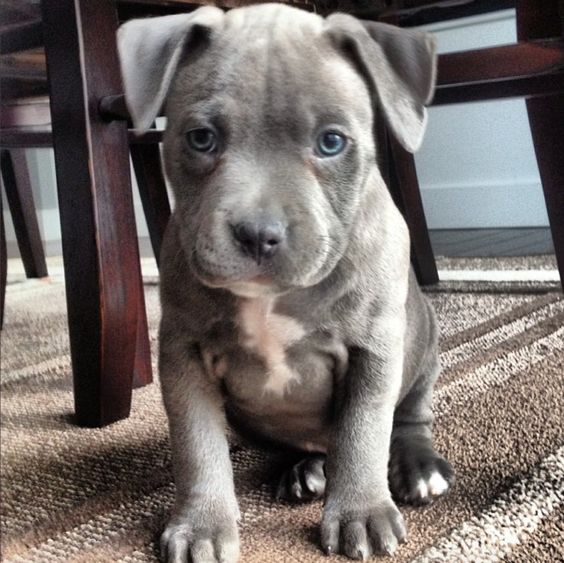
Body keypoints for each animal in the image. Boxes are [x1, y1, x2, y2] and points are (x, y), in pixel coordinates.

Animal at [119, 3, 454, 560]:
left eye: (332, 142)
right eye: (201, 138)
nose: (258, 234)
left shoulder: (373, 351)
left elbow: (363, 432)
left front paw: (361, 513)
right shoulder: (183, 354)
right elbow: (196, 444)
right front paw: (203, 525)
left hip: (423, 342)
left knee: (407, 418)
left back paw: (416, 467)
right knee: (307, 447)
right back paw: (303, 469)